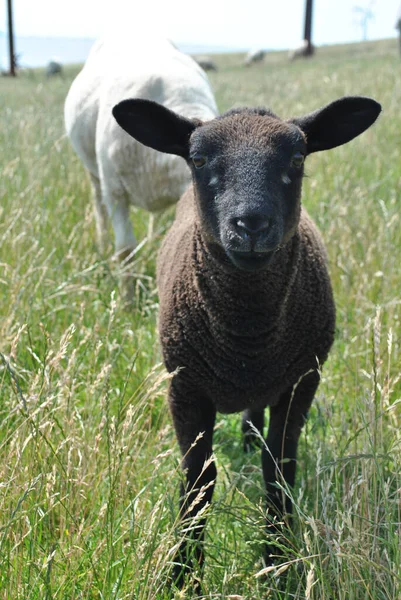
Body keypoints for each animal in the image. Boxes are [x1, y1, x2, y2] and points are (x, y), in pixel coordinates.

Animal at [64, 35, 217, 292]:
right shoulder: (115, 193)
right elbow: (125, 252)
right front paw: (126, 300)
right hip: (94, 173)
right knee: (98, 207)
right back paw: (103, 246)